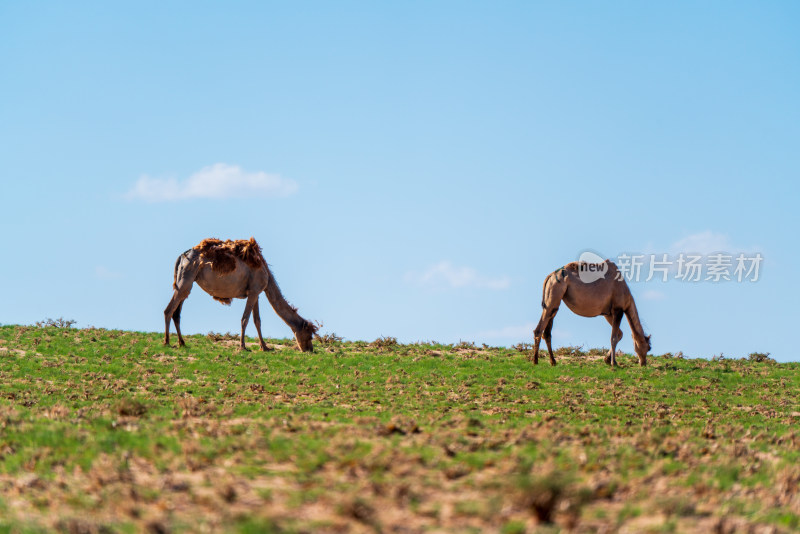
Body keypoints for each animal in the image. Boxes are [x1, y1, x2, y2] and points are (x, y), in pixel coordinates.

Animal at [164, 238, 318, 354]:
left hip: (186, 280)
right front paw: (243, 346)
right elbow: (245, 319)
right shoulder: (255, 291)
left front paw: (265, 347)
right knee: (169, 310)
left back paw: (182, 343)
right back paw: (166, 342)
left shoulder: (255, 293)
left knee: (177, 312)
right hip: (187, 278)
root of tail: (181, 256)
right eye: (309, 335)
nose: (309, 349)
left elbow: (257, 320)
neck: (267, 275)